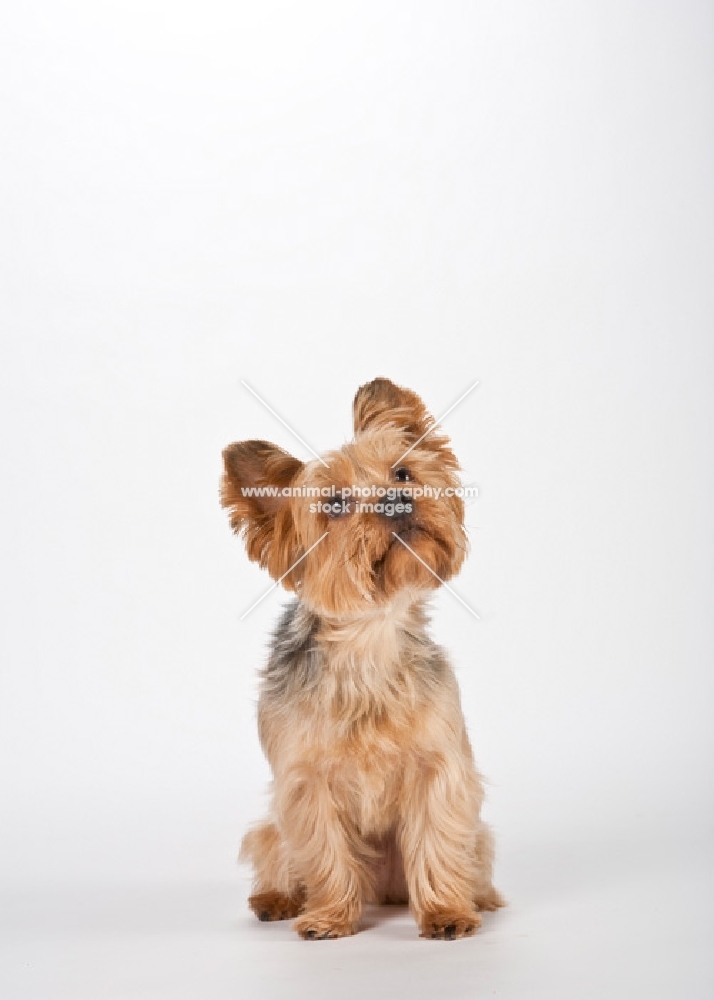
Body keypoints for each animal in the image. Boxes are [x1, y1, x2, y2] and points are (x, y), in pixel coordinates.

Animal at [220, 376, 504, 936]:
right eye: (333, 503)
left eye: (403, 472)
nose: (396, 498)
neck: (369, 638)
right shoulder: (305, 782)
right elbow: (324, 848)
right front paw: (329, 916)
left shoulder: (440, 769)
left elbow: (438, 837)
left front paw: (445, 911)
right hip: (272, 828)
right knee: (276, 850)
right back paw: (276, 900)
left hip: (474, 836)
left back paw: (476, 898)